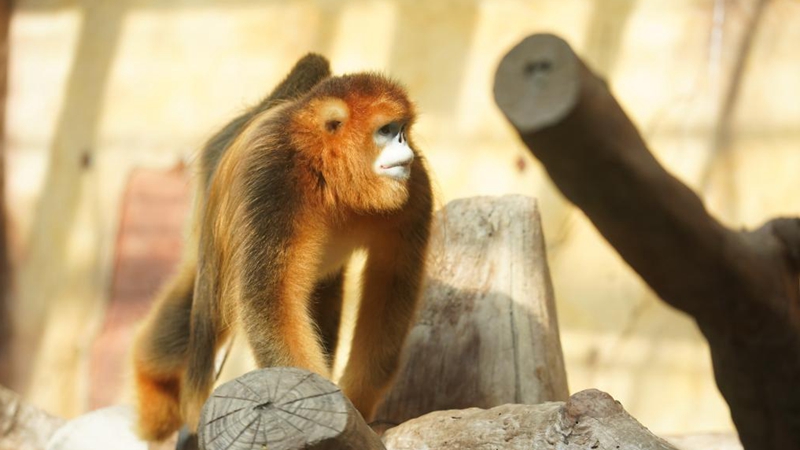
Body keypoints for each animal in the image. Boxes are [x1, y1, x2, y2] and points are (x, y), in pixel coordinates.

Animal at [131, 54, 433, 441]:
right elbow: (269, 301)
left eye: (403, 129)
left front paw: (358, 409)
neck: (329, 175)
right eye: (386, 130)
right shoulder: (273, 181)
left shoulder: (416, 187)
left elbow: (391, 288)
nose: (404, 146)